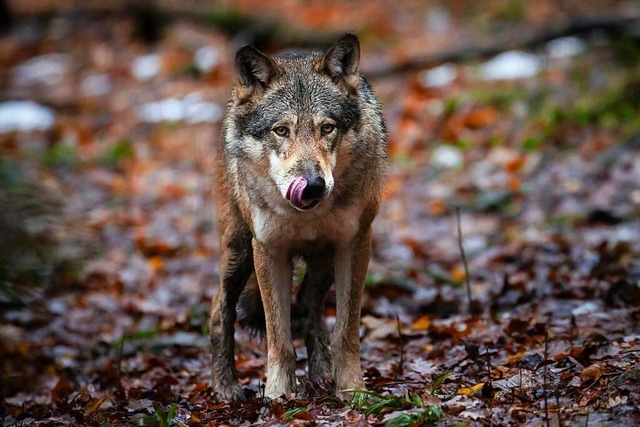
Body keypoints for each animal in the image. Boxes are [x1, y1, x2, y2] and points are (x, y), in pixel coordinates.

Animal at [211, 32, 390, 402]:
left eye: (327, 128)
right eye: (281, 130)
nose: (312, 185)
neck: (306, 216)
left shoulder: (354, 244)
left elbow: (346, 331)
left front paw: (351, 389)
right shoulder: (268, 250)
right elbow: (278, 337)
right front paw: (278, 396)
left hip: (323, 261)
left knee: (309, 306)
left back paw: (321, 373)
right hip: (238, 252)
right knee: (218, 310)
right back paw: (226, 387)